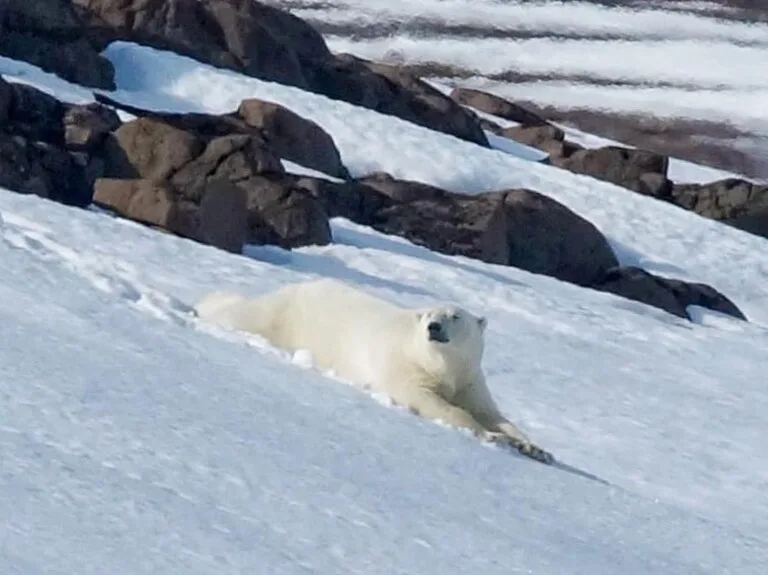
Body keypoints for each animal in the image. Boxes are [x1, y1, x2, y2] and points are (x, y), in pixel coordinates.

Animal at [194, 278, 552, 463]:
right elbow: (433, 403)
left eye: (455, 316)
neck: (441, 365)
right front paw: (492, 437)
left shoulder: (469, 380)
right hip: (284, 319)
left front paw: (534, 448)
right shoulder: (405, 368)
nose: (434, 327)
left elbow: (493, 414)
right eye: (428, 314)